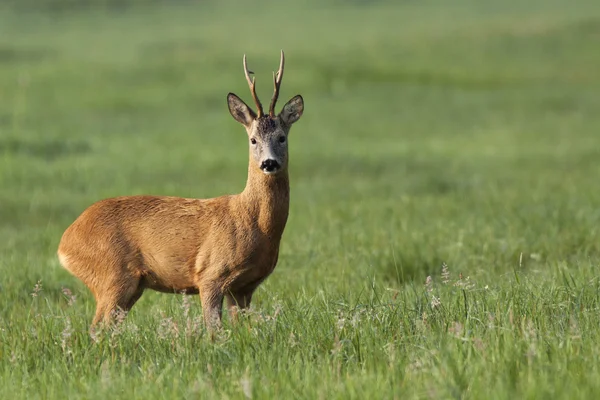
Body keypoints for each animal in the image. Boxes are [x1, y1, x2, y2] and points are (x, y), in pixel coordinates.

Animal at [57, 51, 304, 330]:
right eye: (253, 140)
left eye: (282, 137)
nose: (269, 163)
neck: (256, 223)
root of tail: (65, 242)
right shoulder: (210, 274)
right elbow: (213, 330)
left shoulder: (244, 287)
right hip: (111, 275)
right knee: (97, 328)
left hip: (131, 285)